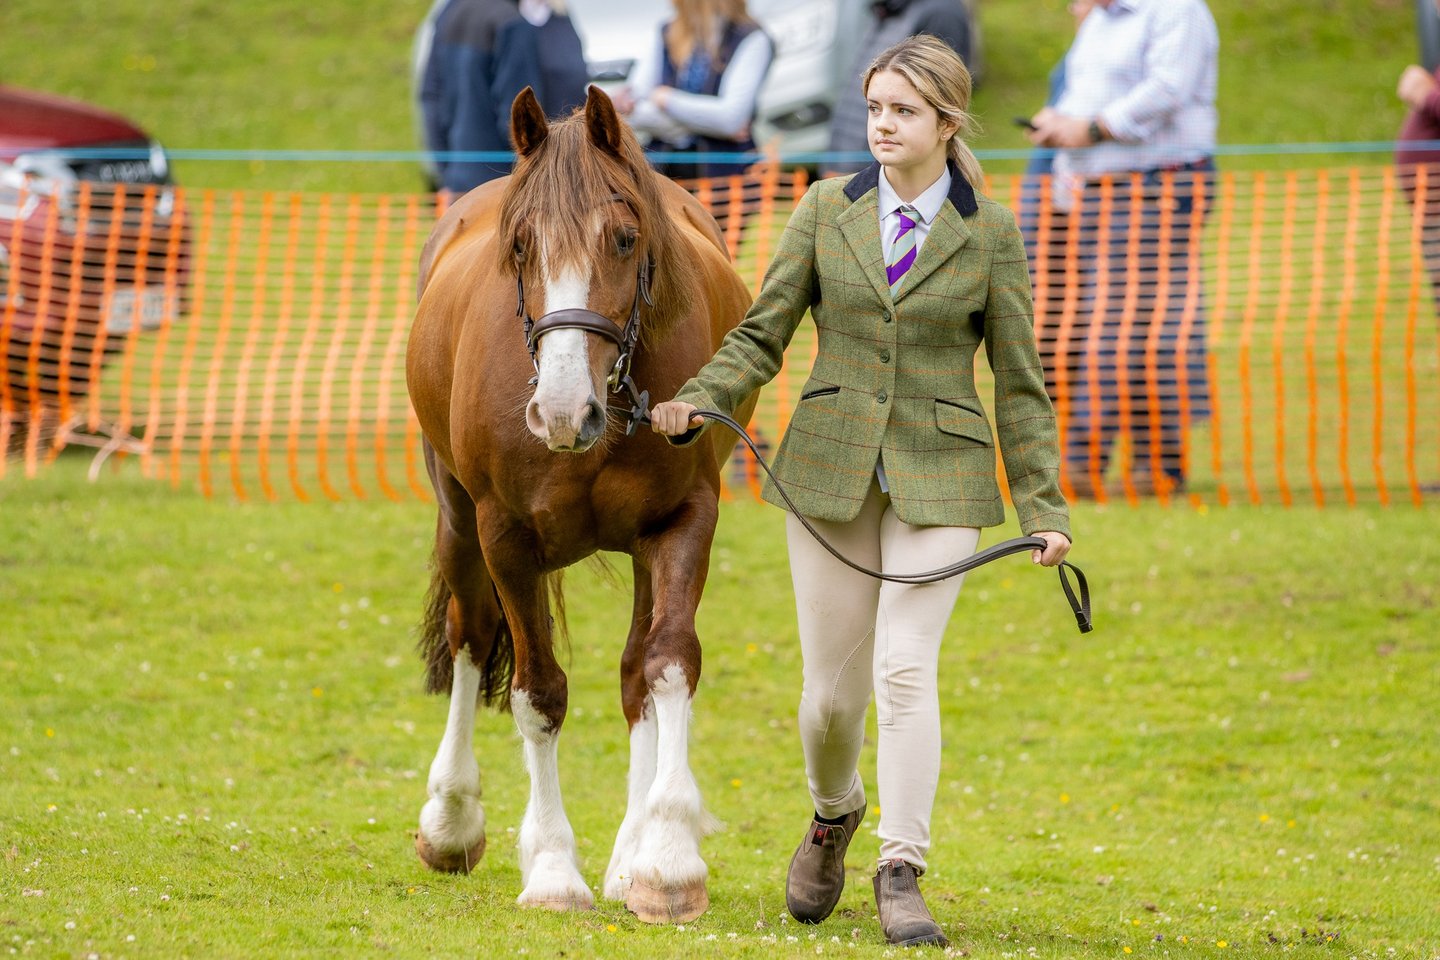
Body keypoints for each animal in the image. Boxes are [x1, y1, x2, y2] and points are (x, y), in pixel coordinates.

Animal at [404, 85, 757, 923]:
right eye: (520, 247)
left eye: (625, 239)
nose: (563, 411)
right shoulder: (505, 538)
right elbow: (538, 692)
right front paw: (554, 870)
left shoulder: (682, 523)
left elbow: (666, 665)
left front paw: (665, 860)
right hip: (459, 524)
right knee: (471, 638)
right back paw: (451, 819)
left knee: (635, 675)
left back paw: (628, 857)